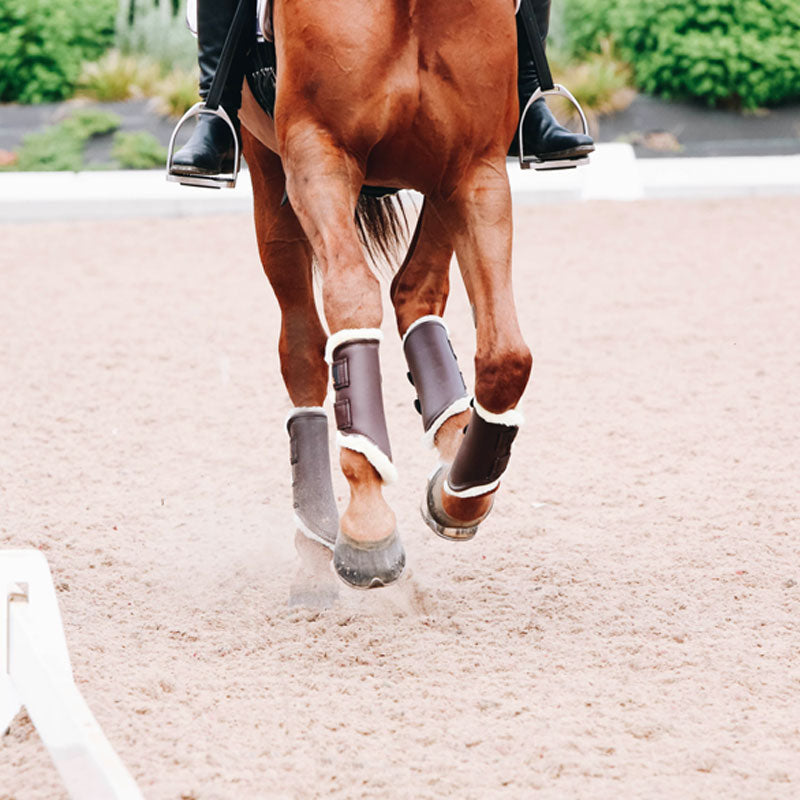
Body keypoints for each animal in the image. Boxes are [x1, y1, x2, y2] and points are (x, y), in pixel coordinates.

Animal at [238, 0, 532, 590]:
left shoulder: (476, 167)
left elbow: (508, 356)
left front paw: (462, 493)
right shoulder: (317, 152)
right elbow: (352, 303)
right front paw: (367, 521)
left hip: (444, 179)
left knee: (415, 290)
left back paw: (453, 430)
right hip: (268, 173)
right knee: (302, 345)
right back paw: (318, 522)